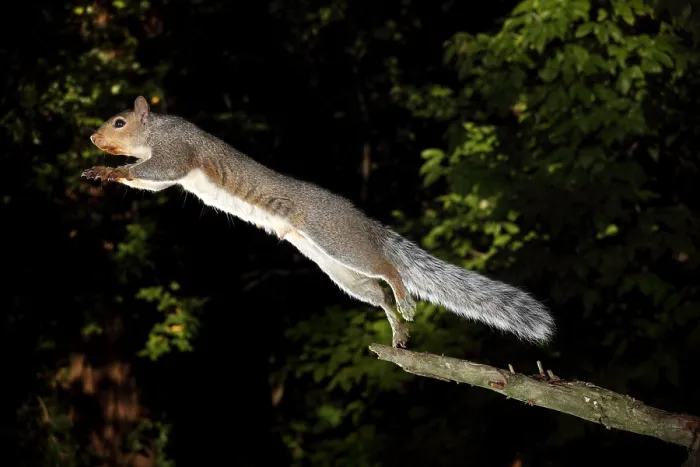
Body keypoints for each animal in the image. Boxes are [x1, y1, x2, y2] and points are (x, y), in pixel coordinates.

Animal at [82, 96, 555, 348]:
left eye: (119, 121)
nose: (92, 137)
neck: (154, 132)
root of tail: (365, 223)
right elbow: (151, 181)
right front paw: (104, 170)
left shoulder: (176, 152)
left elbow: (156, 172)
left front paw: (110, 170)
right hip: (337, 269)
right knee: (377, 291)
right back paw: (397, 328)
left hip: (339, 240)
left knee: (388, 270)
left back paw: (403, 302)